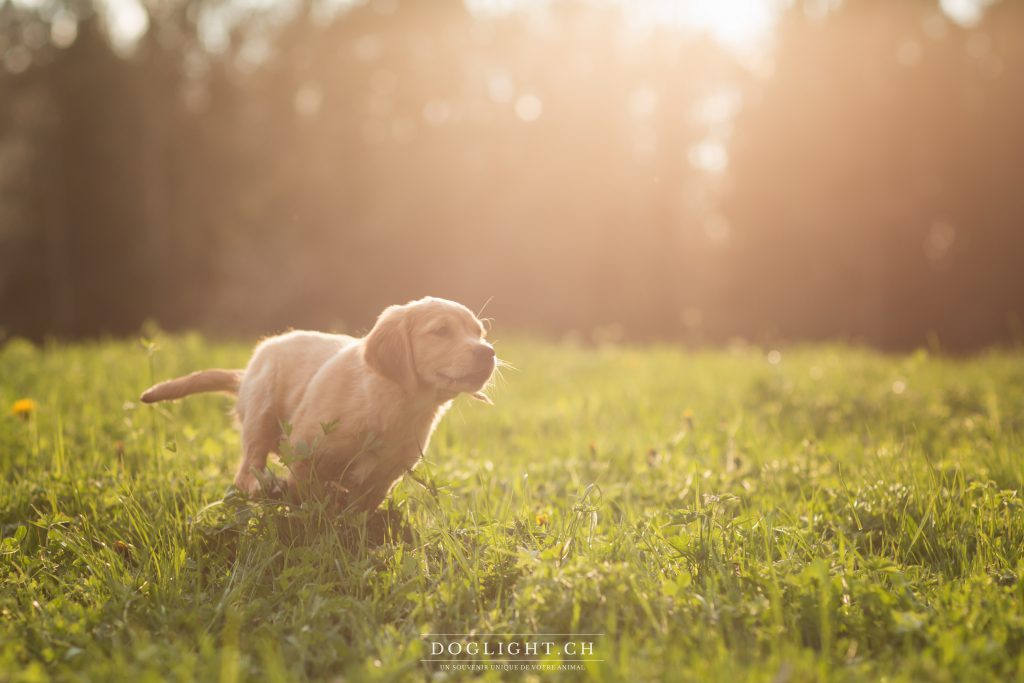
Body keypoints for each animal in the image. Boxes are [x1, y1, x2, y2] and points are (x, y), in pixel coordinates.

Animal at [140, 296, 495, 509]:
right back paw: (262, 490)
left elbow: (361, 509)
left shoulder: (385, 476)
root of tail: (245, 375)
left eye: (478, 333)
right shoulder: (304, 452)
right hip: (261, 413)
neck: (398, 404)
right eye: (441, 331)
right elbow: (304, 494)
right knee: (248, 470)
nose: (488, 352)